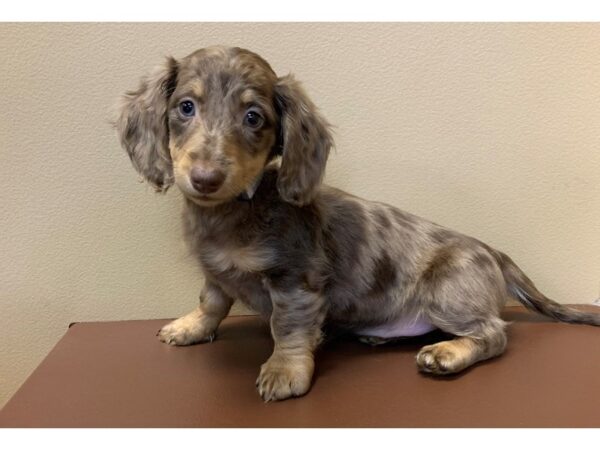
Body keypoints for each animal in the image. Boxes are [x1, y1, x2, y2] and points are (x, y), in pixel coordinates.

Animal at [117, 47, 600, 402]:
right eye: (185, 107)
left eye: (253, 117)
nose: (205, 178)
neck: (235, 210)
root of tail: (493, 252)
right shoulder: (215, 272)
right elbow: (212, 300)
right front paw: (191, 327)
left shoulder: (295, 279)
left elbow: (286, 328)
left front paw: (285, 370)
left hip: (449, 294)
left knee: (494, 334)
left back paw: (447, 351)